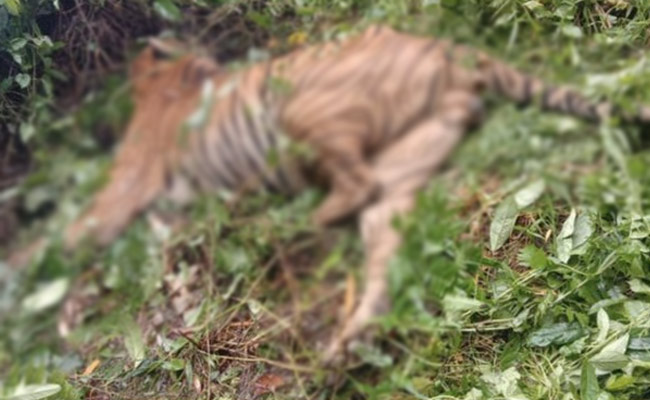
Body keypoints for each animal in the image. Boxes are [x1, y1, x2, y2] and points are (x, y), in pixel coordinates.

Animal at [48, 24, 650, 363]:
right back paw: (348, 345)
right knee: (382, 244)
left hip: (305, 110)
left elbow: (86, 224)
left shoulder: (133, 176)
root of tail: (448, 48)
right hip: (408, 161)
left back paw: (291, 227)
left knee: (355, 187)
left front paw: (51, 273)